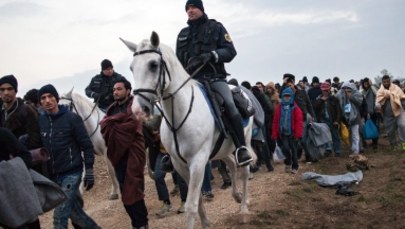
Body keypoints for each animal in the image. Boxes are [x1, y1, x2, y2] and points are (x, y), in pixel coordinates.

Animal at [120, 31, 254, 228]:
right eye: (131, 67)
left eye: (153, 65)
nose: (138, 109)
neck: (179, 116)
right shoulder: (179, 164)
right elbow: (198, 201)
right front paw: (206, 224)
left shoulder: (197, 162)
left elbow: (191, 205)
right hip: (222, 150)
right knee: (231, 163)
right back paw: (236, 196)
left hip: (244, 141)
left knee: (244, 170)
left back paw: (244, 208)